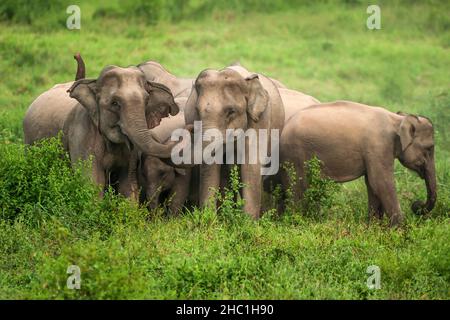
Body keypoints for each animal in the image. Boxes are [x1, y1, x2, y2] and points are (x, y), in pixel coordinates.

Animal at [184, 63, 284, 219]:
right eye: (197, 110)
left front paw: (247, 222)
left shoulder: (260, 120)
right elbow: (211, 166)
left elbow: (250, 166)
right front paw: (209, 220)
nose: (190, 128)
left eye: (231, 111)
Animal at [278, 101, 436, 226]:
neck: (397, 120)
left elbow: (372, 184)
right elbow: (381, 183)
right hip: (295, 154)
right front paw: (399, 231)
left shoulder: (374, 153)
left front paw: (374, 228)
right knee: (298, 187)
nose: (416, 205)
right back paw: (295, 223)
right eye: (429, 148)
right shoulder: (378, 146)